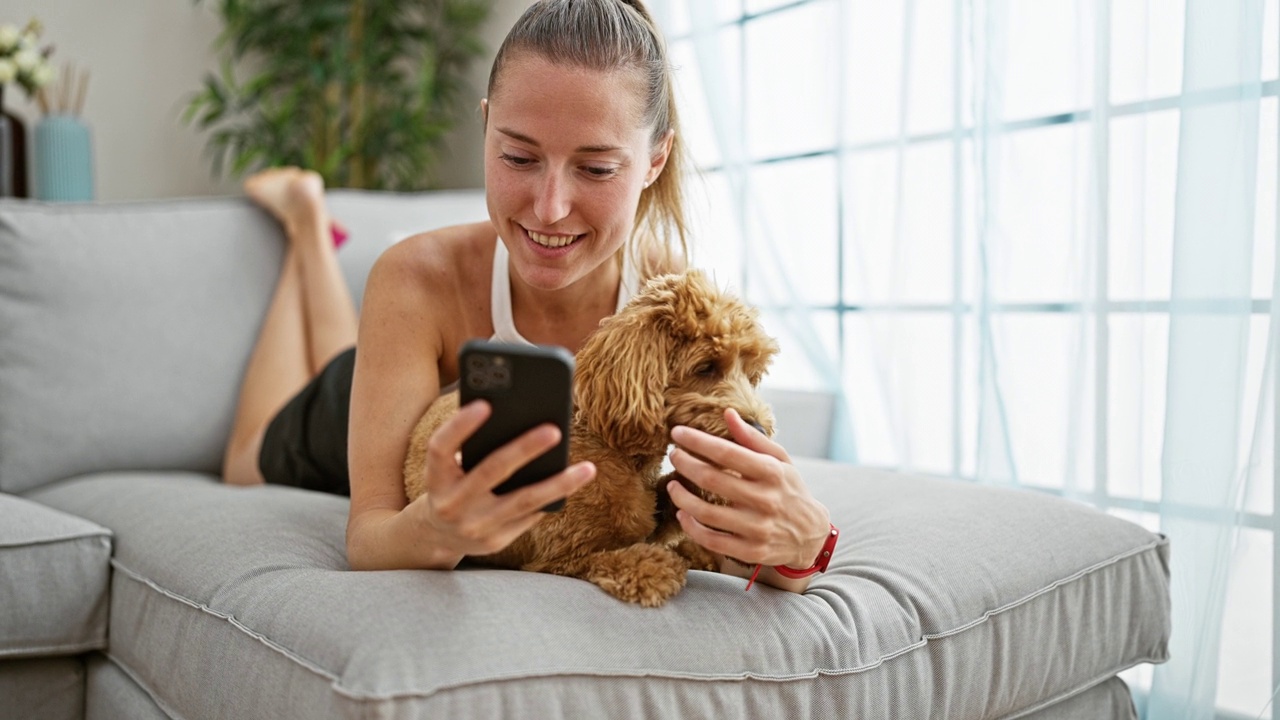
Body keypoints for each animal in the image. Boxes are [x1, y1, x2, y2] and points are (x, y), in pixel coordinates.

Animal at [401, 269, 778, 604]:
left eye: (750, 374)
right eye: (706, 367)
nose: (758, 429)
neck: (617, 451)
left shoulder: (651, 508)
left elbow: (674, 491)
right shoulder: (563, 556)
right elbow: (621, 557)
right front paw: (656, 565)